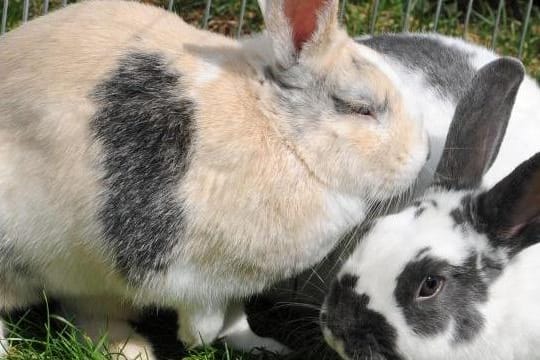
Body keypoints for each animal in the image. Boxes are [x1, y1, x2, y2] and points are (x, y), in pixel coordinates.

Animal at [0, 0, 430, 356]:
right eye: (360, 108)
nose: (423, 154)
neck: (280, 133)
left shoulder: (236, 284)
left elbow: (236, 318)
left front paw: (264, 345)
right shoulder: (189, 275)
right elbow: (205, 319)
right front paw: (195, 341)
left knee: (87, 313)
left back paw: (130, 349)